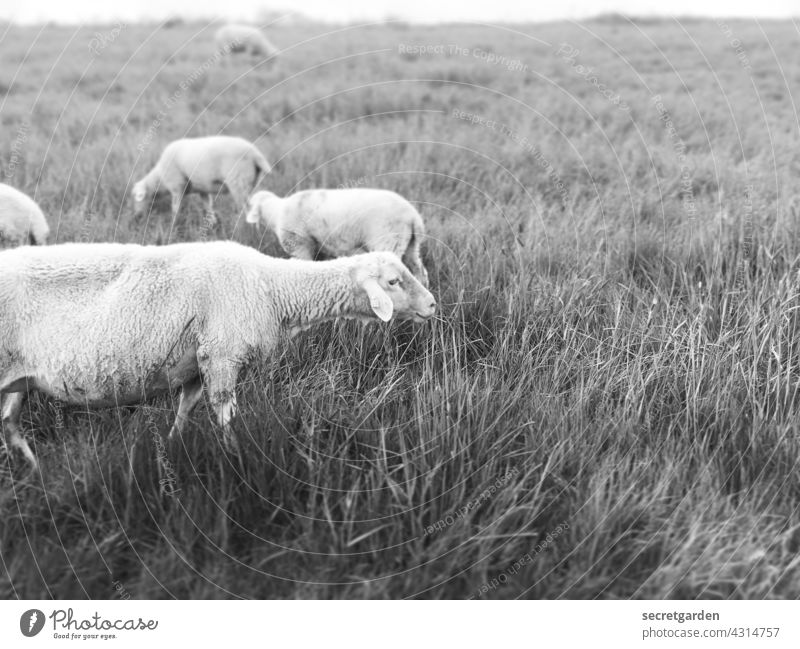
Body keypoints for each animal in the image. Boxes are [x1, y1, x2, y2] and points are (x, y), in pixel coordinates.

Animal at [0, 240, 438, 468]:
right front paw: (236, 460)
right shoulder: (222, 354)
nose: (433, 305)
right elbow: (225, 416)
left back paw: (35, 470)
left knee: (9, 423)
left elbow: (185, 411)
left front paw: (172, 451)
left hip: (18, 378)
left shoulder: (197, 364)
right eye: (394, 281)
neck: (271, 286)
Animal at [130, 135, 270, 227]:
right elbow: (208, 206)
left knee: (247, 209)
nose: (137, 217)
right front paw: (212, 224)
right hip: (250, 183)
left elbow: (175, 208)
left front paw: (173, 224)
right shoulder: (203, 190)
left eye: (138, 199)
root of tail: (255, 154)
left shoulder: (177, 186)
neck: (160, 179)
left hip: (238, 182)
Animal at [247, 190, 432, 286]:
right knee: (419, 270)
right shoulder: (320, 248)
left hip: (388, 240)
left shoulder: (299, 245)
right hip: (410, 245)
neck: (276, 212)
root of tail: (413, 217)